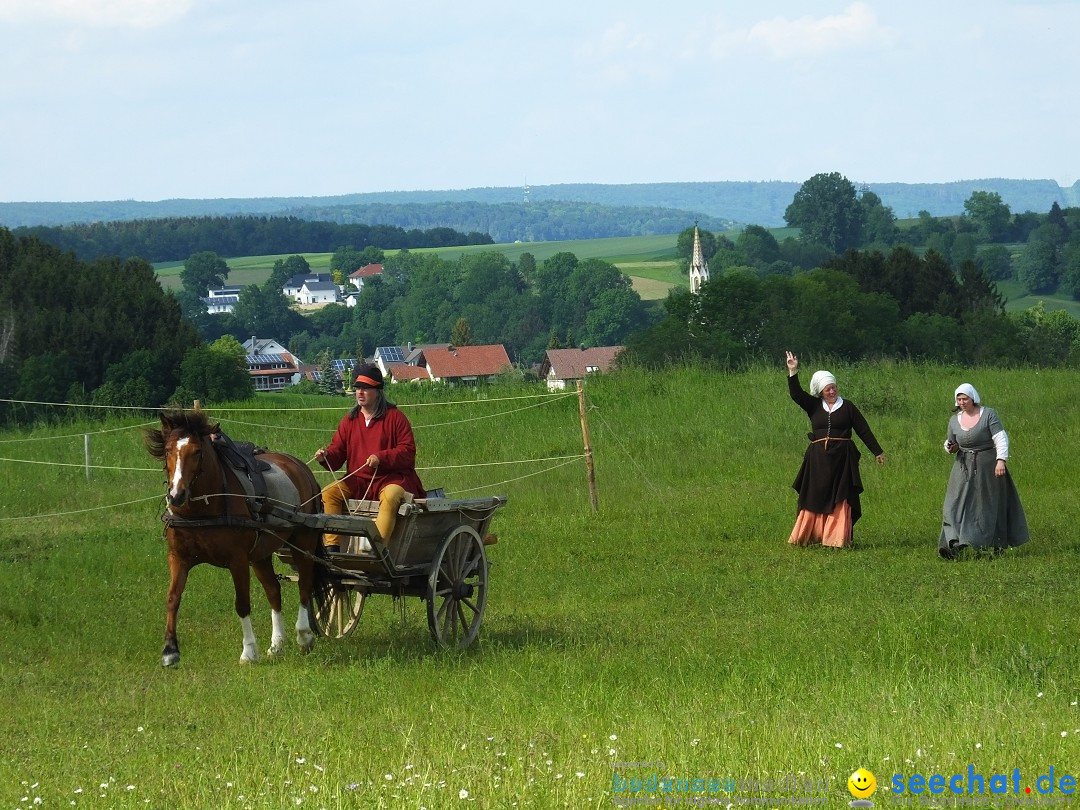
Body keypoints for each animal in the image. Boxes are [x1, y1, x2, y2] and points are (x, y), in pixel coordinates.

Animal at [147, 408, 324, 669]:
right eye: (168, 450)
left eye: (197, 452)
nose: (176, 495)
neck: (204, 507)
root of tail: (300, 467)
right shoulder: (178, 557)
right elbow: (172, 599)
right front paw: (170, 651)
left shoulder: (237, 560)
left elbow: (242, 604)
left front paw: (249, 651)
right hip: (261, 553)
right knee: (274, 590)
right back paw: (277, 645)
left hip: (303, 542)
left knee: (304, 585)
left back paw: (304, 636)